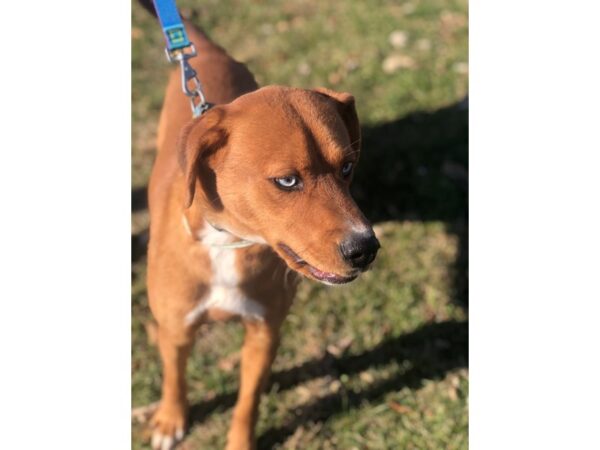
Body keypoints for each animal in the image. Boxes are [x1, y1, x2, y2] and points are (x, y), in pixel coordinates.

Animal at [141, 5, 380, 448]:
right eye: (287, 181)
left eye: (347, 168)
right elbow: (174, 378)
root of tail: (207, 51)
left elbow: (247, 401)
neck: (227, 243)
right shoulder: (175, 328)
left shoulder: (264, 332)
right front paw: (169, 419)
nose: (365, 249)